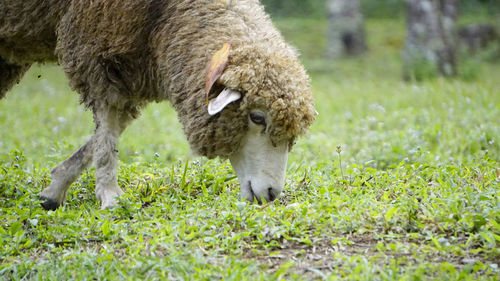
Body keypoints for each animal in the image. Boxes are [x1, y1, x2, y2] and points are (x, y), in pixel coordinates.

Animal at [0, 0, 314, 209]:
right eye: (257, 117)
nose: (272, 193)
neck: (170, 13)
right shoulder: (96, 44)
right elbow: (106, 128)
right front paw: (110, 195)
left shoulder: (136, 62)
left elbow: (108, 132)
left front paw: (55, 188)